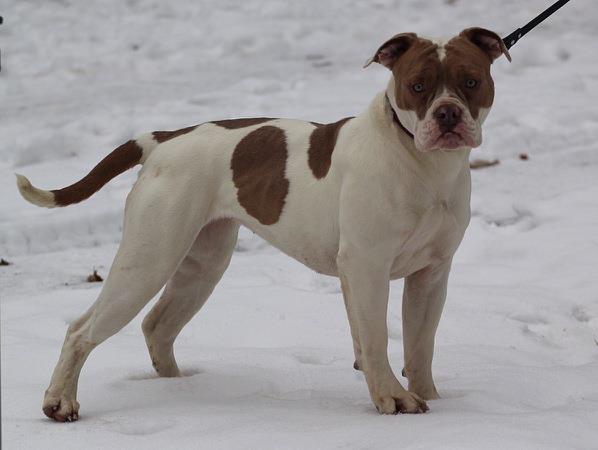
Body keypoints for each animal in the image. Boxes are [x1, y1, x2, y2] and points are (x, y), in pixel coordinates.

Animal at [16, 27, 510, 422]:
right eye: (417, 86)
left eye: (471, 81)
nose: (447, 113)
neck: (423, 164)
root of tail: (164, 140)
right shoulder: (367, 267)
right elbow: (374, 340)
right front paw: (394, 399)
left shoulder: (431, 274)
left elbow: (419, 344)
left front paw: (430, 396)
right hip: (147, 260)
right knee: (82, 331)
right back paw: (59, 402)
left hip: (203, 263)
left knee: (158, 324)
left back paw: (180, 387)